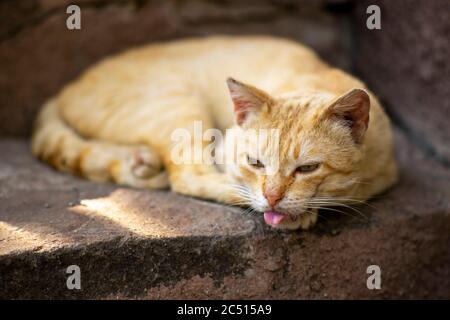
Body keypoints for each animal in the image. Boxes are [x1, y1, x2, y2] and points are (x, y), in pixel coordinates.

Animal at [31, 35, 398, 230]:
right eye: (255, 163)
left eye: (307, 168)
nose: (272, 198)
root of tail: (65, 89)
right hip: (178, 105)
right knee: (186, 177)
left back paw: (138, 162)